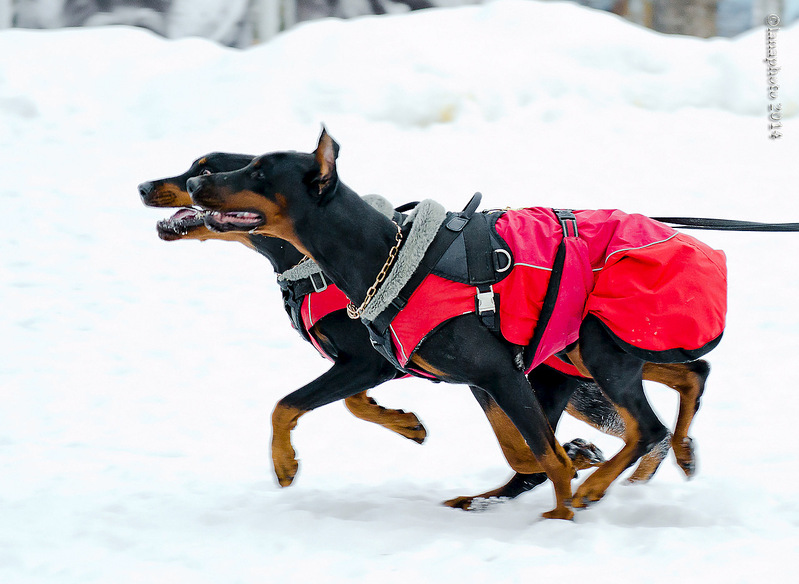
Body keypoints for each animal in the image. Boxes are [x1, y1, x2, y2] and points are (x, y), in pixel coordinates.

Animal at [186, 133, 720, 520]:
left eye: (258, 171)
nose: (192, 186)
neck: (383, 256)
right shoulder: (483, 381)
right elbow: (528, 454)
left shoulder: (497, 374)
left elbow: (546, 458)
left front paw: (561, 516)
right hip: (582, 354)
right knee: (693, 374)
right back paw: (676, 451)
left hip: (596, 350)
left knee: (647, 426)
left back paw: (594, 487)